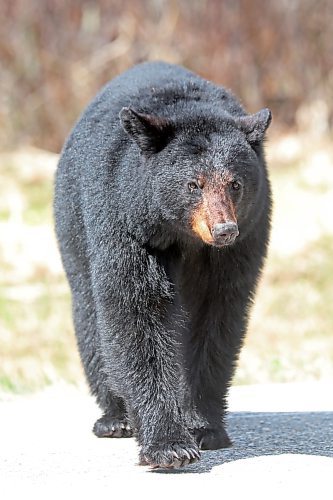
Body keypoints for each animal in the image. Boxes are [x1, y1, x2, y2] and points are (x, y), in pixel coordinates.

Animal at [54, 61, 272, 468]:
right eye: (193, 184)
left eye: (235, 184)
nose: (224, 230)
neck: (183, 237)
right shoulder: (128, 225)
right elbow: (137, 315)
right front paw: (169, 445)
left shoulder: (241, 244)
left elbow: (215, 318)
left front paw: (203, 429)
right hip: (73, 228)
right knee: (91, 317)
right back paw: (115, 418)